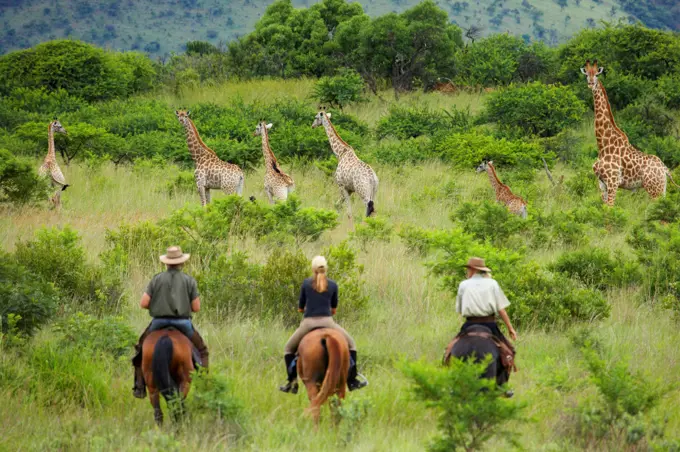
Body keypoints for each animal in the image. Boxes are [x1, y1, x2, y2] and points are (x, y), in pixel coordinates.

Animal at [580, 60, 680, 207]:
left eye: (597, 74)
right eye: (586, 74)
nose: (591, 84)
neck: (603, 145)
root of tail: (665, 169)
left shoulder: (613, 182)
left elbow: (610, 208)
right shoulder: (602, 184)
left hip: (654, 190)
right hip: (662, 189)